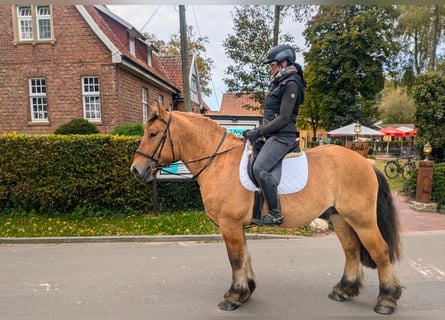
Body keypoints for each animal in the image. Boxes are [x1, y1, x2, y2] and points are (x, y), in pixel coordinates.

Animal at [129, 104, 402, 316]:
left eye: (153, 133)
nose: (135, 170)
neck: (219, 161)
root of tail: (365, 163)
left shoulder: (229, 224)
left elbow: (235, 258)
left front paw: (234, 296)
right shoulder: (237, 226)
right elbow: (245, 256)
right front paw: (247, 290)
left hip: (362, 220)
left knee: (380, 251)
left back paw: (387, 299)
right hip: (340, 217)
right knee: (351, 250)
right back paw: (344, 290)